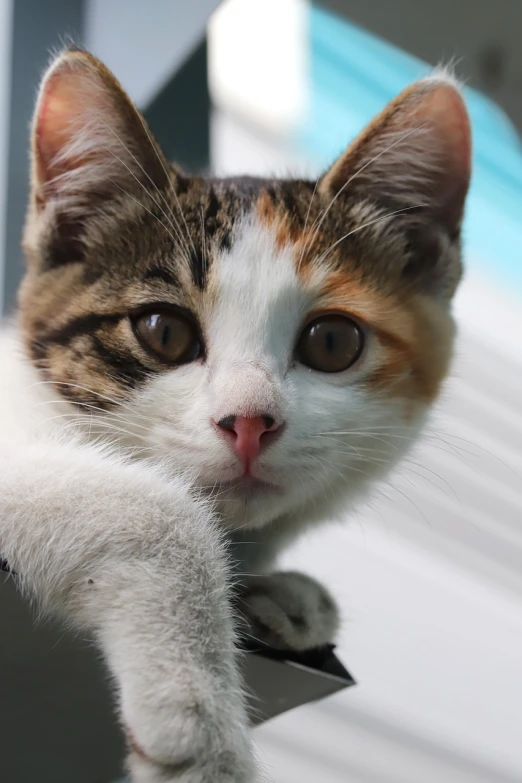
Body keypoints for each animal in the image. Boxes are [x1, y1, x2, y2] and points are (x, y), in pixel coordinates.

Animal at [0, 50, 470, 783]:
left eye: (332, 342)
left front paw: (282, 595)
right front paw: (199, 720)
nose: (250, 421)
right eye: (163, 331)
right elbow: (155, 507)